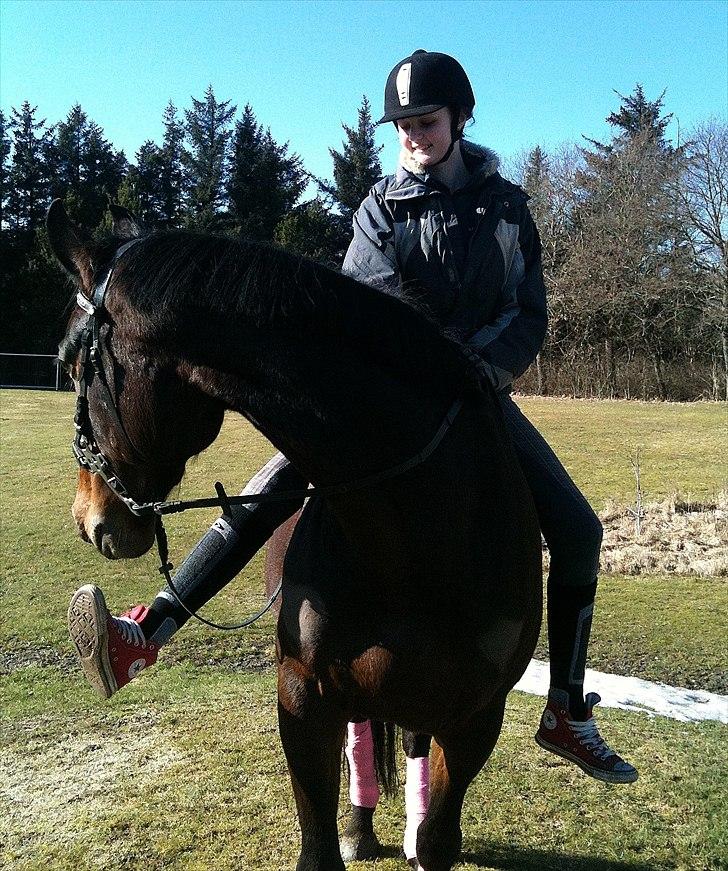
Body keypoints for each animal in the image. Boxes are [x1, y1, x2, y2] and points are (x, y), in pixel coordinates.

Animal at [49, 199, 540, 871]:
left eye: (75, 367)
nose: (88, 517)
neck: (414, 534)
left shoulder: (474, 719)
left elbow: (439, 839)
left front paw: (422, 837)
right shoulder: (304, 699)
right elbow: (318, 843)